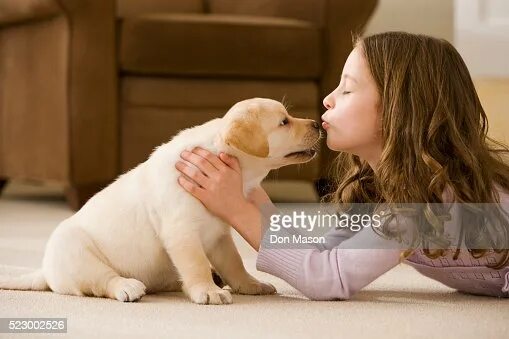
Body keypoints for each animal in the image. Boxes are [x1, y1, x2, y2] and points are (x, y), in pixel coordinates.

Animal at [0, 97, 320, 306]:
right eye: (284, 122)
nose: (317, 123)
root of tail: (46, 272)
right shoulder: (181, 232)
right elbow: (195, 263)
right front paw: (207, 291)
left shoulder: (219, 235)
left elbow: (234, 263)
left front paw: (249, 285)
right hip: (77, 253)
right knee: (103, 281)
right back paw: (128, 286)